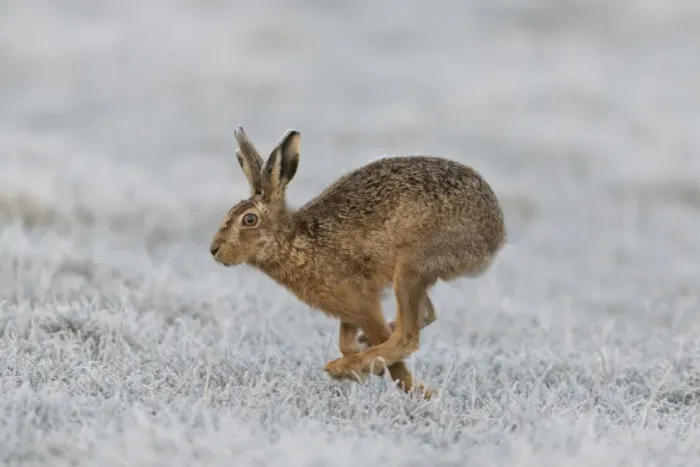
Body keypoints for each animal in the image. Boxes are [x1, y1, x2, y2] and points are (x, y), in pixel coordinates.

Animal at [209, 127, 507, 399]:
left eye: (249, 219)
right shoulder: (348, 310)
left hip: (411, 269)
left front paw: (405, 385)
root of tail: (495, 233)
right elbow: (346, 341)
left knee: (407, 337)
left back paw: (345, 369)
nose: (214, 250)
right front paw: (363, 366)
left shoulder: (363, 303)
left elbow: (388, 351)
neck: (292, 240)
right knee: (425, 315)